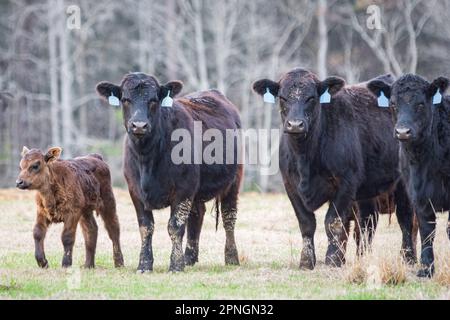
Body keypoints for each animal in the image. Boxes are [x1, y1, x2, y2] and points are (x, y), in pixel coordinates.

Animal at [96, 73, 243, 272]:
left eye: (153, 100)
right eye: (125, 99)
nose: (139, 126)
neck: (147, 158)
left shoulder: (183, 190)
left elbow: (175, 226)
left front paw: (175, 265)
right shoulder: (135, 190)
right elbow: (146, 227)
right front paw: (144, 264)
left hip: (233, 181)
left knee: (229, 216)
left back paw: (231, 258)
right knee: (197, 215)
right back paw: (189, 258)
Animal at [253, 69, 414, 268]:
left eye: (311, 98)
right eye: (282, 97)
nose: (295, 124)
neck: (305, 156)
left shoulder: (346, 183)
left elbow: (334, 222)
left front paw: (333, 259)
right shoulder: (290, 186)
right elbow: (306, 223)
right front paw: (306, 261)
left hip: (403, 185)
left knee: (405, 219)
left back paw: (409, 258)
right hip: (367, 193)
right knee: (367, 223)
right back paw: (363, 258)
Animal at [368, 74, 448, 276]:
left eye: (420, 104)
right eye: (393, 104)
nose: (402, 132)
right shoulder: (418, 195)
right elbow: (427, 231)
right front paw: (426, 269)